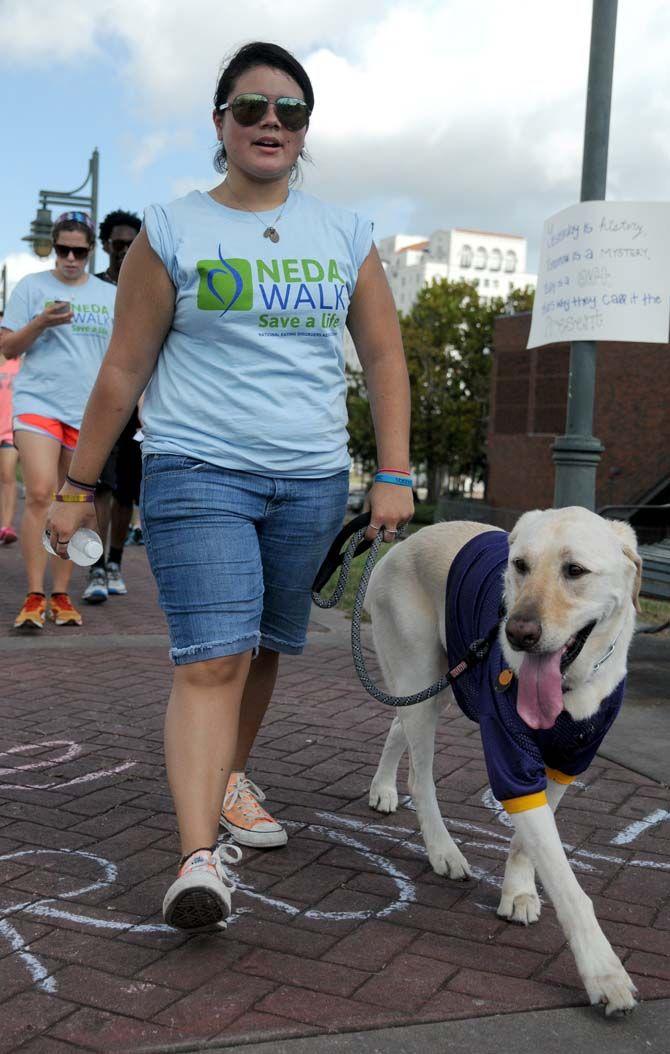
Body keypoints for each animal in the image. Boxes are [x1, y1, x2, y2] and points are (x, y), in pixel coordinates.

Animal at [368, 505, 640, 1016]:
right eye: (520, 566)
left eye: (575, 571)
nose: (517, 633)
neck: (571, 687)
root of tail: (403, 542)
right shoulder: (510, 756)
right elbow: (568, 885)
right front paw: (604, 972)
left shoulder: (566, 763)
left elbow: (529, 843)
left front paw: (518, 891)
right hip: (421, 674)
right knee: (420, 774)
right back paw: (442, 849)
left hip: (440, 684)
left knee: (398, 726)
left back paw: (383, 788)